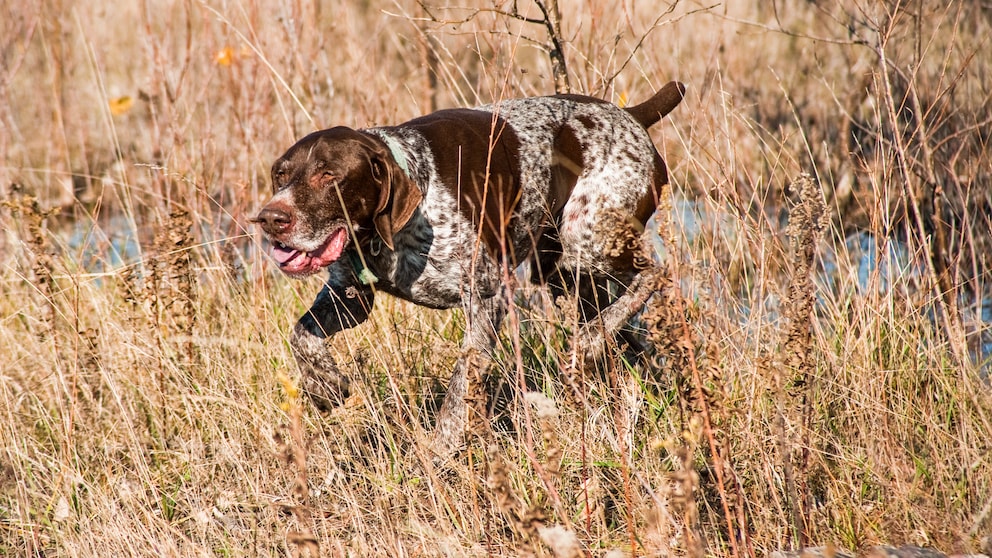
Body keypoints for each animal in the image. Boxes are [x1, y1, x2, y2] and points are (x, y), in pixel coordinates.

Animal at [256, 82, 684, 456]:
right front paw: (324, 386)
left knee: (653, 273)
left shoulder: (486, 297)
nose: (270, 219)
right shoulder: (350, 297)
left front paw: (441, 447)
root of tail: (630, 114)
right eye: (280, 174)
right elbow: (302, 336)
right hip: (563, 274)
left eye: (329, 175)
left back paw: (588, 344)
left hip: (586, 244)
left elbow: (462, 379)